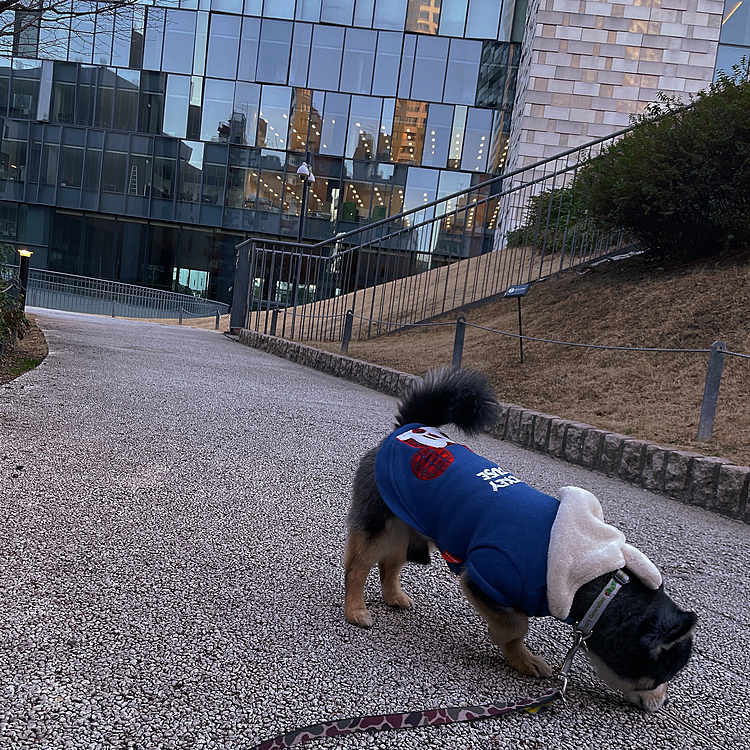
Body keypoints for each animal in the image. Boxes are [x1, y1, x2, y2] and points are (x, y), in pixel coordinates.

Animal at [346, 368, 700, 712]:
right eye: (661, 676)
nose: (661, 703)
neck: (595, 580)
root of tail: (410, 429)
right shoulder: (485, 578)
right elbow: (516, 626)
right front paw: (520, 657)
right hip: (379, 524)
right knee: (357, 568)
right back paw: (355, 610)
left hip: (407, 523)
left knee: (390, 563)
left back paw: (393, 596)